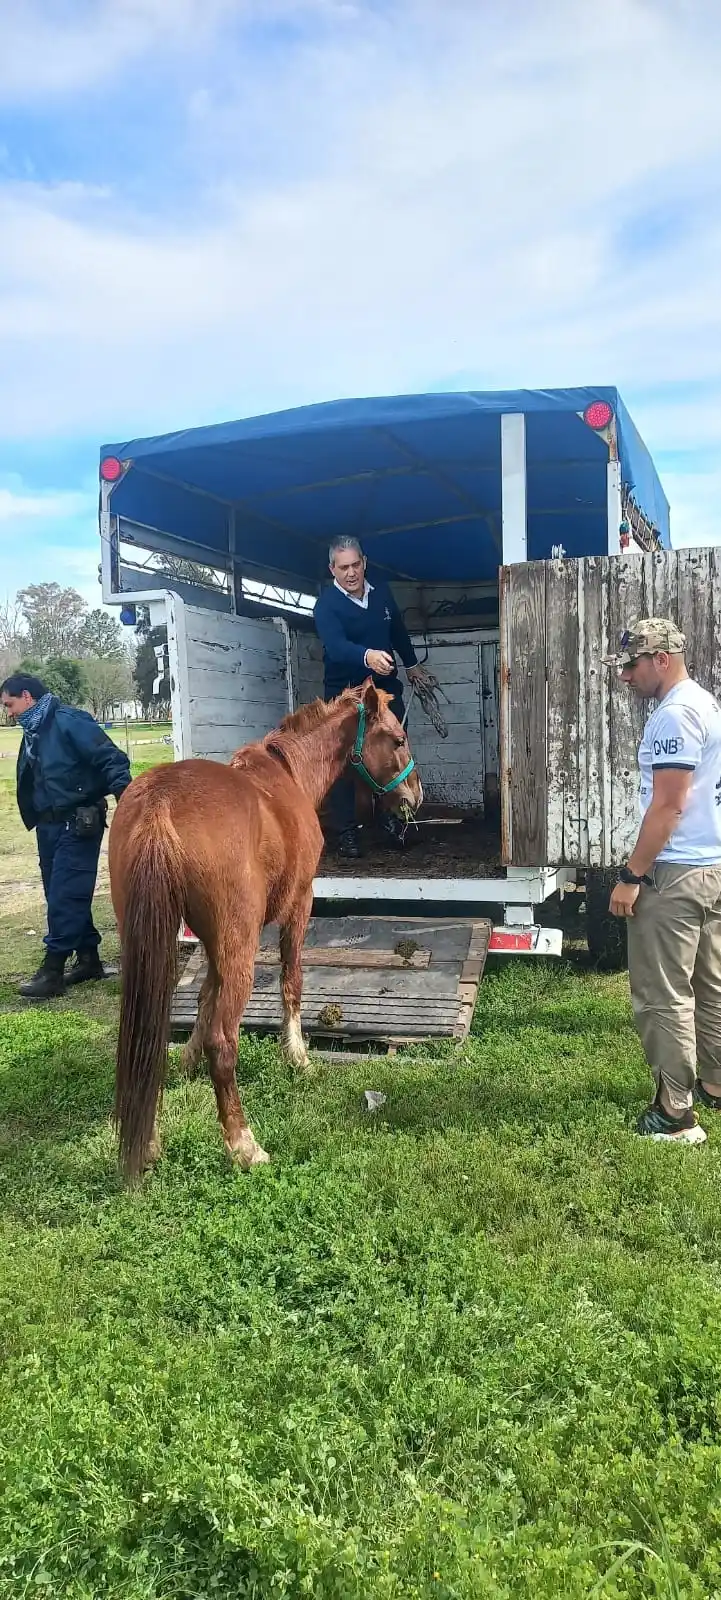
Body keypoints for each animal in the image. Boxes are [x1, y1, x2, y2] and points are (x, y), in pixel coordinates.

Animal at [108, 679, 422, 1180]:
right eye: (397, 739)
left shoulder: (210, 941)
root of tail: (160, 804)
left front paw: (188, 1057)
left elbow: (204, 994)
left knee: (147, 1037)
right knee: (224, 1043)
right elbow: (292, 980)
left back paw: (150, 1141)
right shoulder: (299, 905)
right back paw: (243, 1145)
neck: (288, 775)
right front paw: (297, 1056)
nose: (415, 796)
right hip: (241, 946)